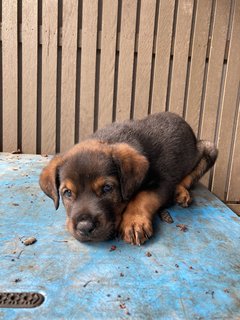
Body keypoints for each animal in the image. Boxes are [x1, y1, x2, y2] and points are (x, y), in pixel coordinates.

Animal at [39, 112, 218, 245]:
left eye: (107, 188)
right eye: (67, 193)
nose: (84, 228)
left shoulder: (163, 182)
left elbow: (143, 196)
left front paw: (133, 222)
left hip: (209, 149)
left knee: (191, 175)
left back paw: (181, 191)